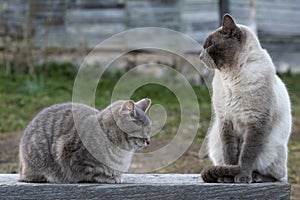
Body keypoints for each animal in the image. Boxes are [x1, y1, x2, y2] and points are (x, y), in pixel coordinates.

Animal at [18, 98, 152, 183]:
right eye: (143, 131)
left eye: (150, 130)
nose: (149, 141)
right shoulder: (72, 156)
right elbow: (92, 172)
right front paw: (108, 177)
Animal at [199, 14, 290, 183]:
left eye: (209, 45)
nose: (200, 56)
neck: (230, 76)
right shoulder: (226, 121)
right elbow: (230, 154)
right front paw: (227, 177)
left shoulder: (256, 122)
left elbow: (247, 154)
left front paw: (242, 177)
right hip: (215, 143)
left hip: (272, 149)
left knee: (276, 175)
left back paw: (255, 177)